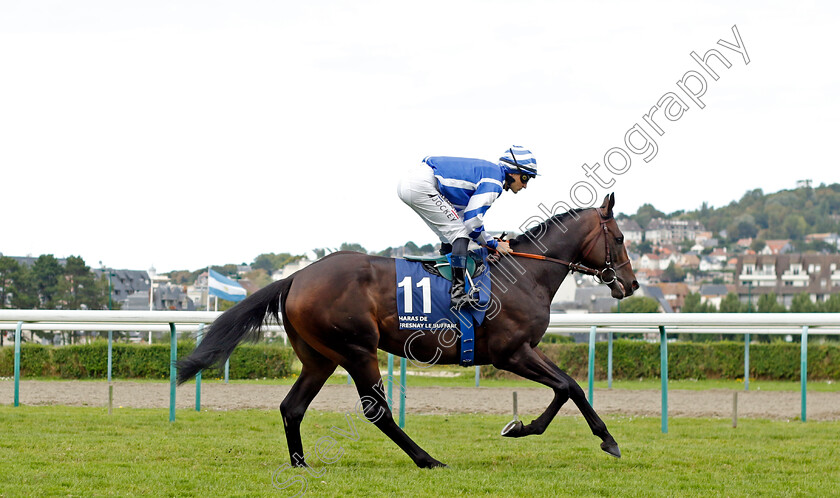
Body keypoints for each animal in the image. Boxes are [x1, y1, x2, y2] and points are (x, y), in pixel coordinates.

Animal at [177, 193, 636, 468]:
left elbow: (568, 386)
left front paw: (579, 435)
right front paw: (578, 436)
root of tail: (295, 277)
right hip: (357, 350)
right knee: (376, 412)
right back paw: (427, 458)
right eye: (618, 237)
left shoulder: (526, 349)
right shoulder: (511, 352)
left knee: (292, 407)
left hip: (320, 358)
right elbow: (567, 387)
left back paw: (301, 464)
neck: (526, 274)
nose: (630, 285)